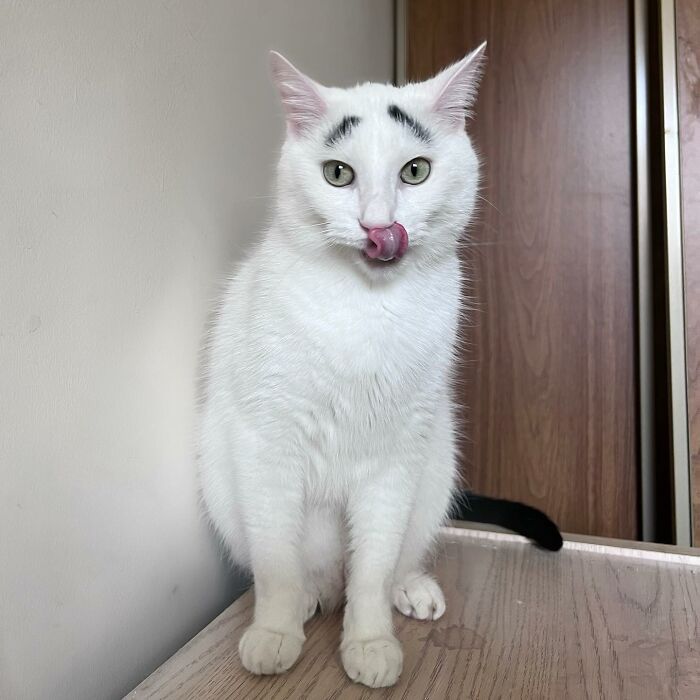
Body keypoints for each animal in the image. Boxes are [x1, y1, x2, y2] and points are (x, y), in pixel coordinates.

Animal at [200, 45, 486, 688]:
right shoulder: (271, 444)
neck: (366, 310)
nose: (379, 225)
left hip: (435, 467)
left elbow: (373, 567)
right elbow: (278, 562)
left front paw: (371, 643)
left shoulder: (398, 456)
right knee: (298, 570)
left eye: (415, 172)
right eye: (338, 174)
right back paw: (308, 600)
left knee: (390, 562)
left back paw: (412, 589)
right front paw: (275, 635)